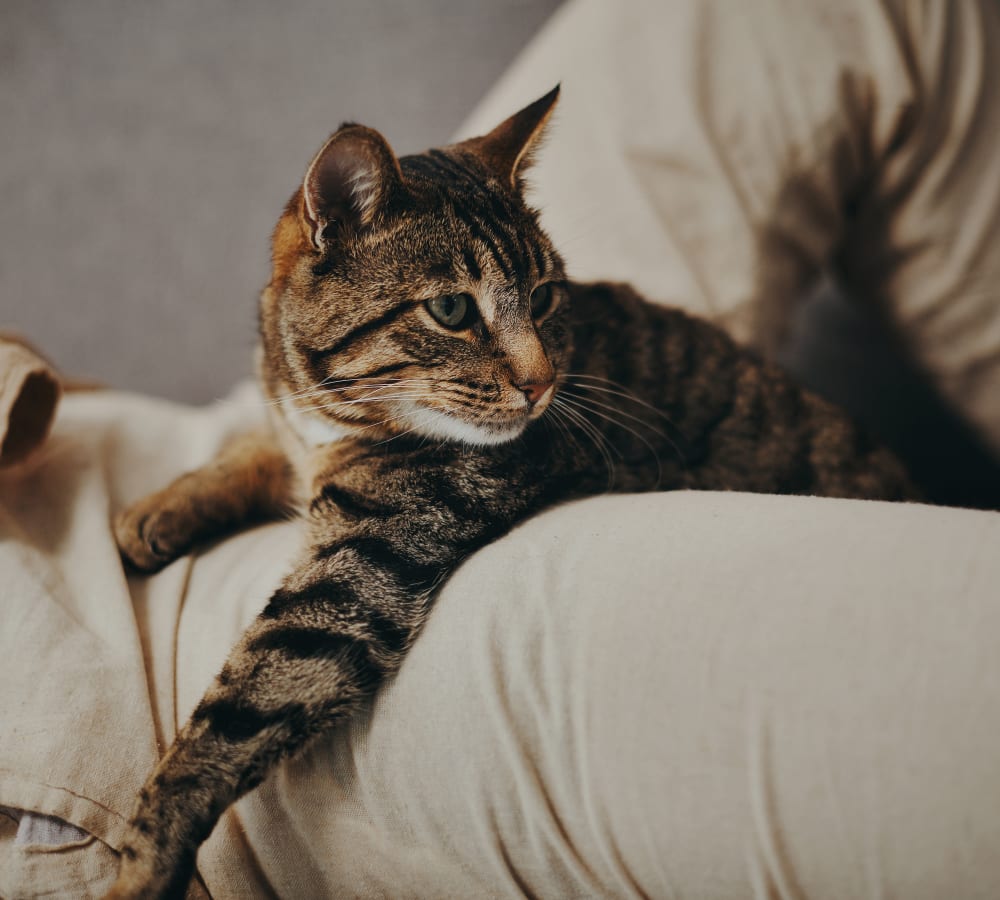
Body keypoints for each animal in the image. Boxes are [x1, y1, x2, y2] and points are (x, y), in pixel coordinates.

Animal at [105, 86, 916, 900]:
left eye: (546, 295)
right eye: (453, 311)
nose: (542, 383)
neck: (334, 411)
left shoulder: (364, 566)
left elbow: (239, 708)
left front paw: (143, 860)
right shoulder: (296, 436)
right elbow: (254, 447)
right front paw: (157, 509)